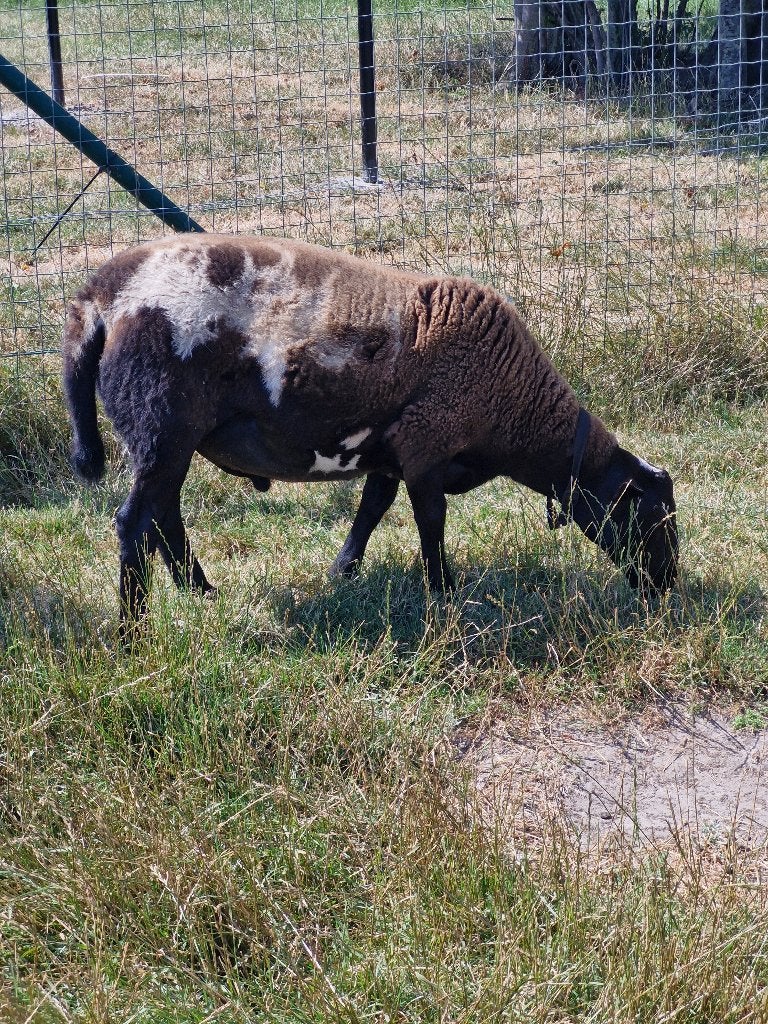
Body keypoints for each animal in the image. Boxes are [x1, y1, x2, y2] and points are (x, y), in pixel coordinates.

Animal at [62, 233, 678, 629]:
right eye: (651, 515)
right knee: (135, 523)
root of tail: (99, 298)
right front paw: (444, 593)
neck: (513, 402)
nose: (668, 588)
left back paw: (200, 590)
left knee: (163, 517)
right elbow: (430, 522)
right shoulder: (428, 444)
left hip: (171, 438)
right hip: (163, 424)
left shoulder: (392, 449)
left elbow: (372, 509)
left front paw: (344, 572)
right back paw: (134, 631)